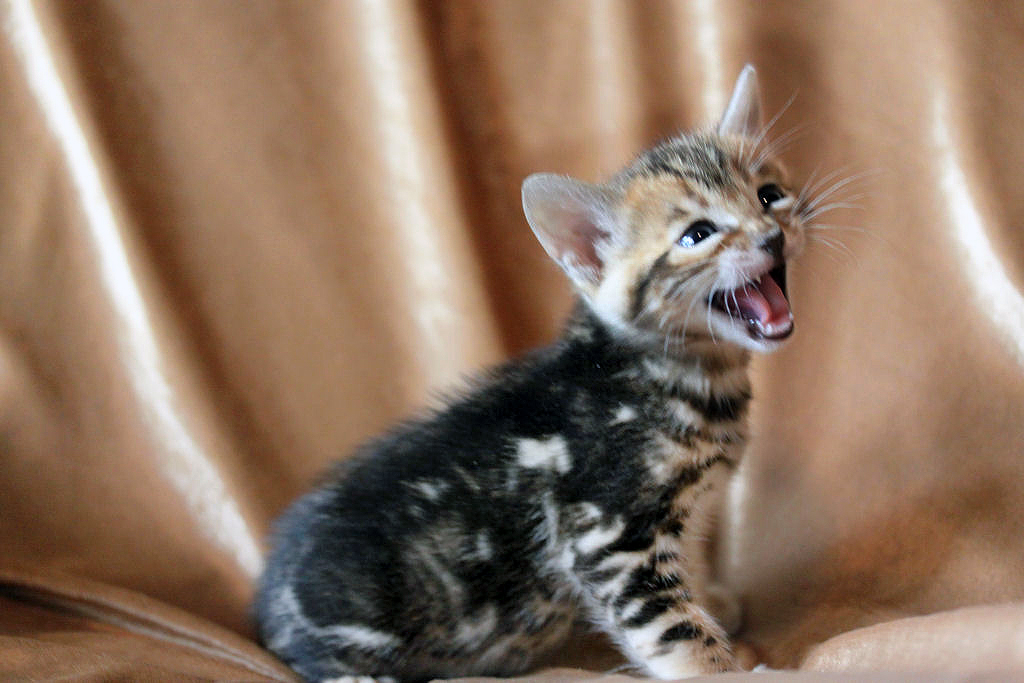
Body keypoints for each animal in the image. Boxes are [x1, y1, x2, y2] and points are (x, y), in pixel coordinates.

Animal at [256, 65, 806, 683]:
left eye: (769, 196)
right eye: (697, 235)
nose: (771, 236)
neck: (686, 376)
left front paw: (713, 602)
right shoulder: (610, 533)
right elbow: (670, 627)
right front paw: (719, 667)